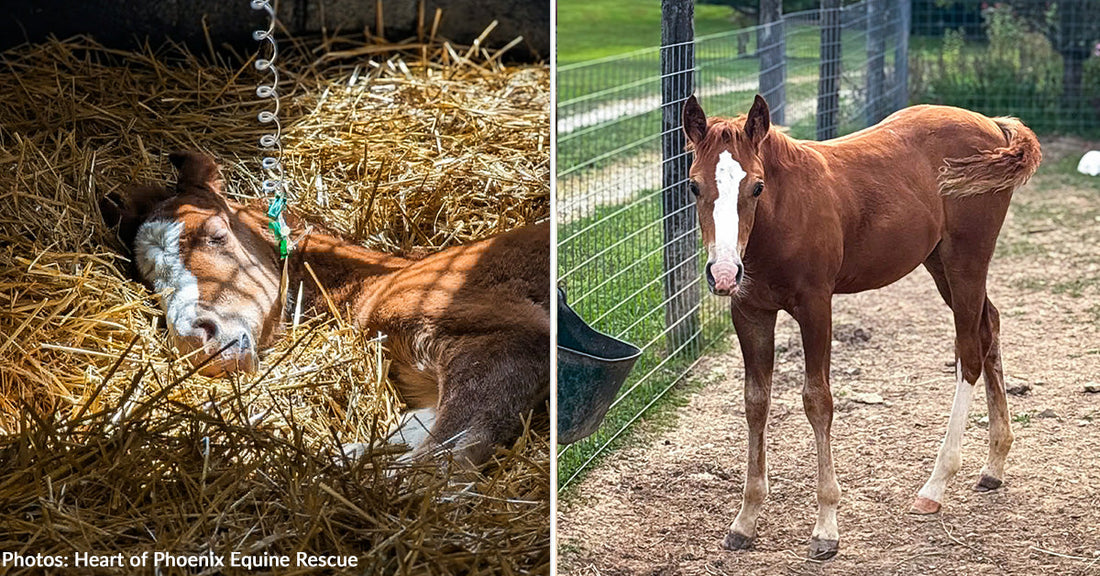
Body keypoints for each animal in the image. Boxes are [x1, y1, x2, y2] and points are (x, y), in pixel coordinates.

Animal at [100, 151, 551, 468]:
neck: (383, 278)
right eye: (147, 278)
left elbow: (429, 467)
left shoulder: (509, 340)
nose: (195, 338)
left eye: (216, 234)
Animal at [682, 94, 1041, 559]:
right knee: (989, 326)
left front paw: (826, 528)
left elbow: (817, 401)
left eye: (757, 186)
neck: (783, 216)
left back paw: (935, 486)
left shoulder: (817, 306)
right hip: (938, 263)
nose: (723, 273)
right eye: (694, 186)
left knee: (968, 354)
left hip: (967, 261)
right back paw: (994, 466)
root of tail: (994, 125)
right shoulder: (750, 312)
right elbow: (755, 403)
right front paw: (745, 522)